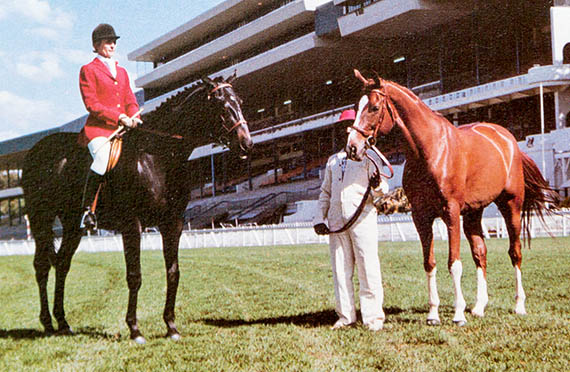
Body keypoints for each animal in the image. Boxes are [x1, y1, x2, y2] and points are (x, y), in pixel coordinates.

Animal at [21, 73, 251, 342]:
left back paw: (63, 323)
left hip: (72, 225)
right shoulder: (133, 224)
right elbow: (135, 275)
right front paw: (134, 328)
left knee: (63, 264)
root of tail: (36, 150)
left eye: (240, 102)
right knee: (42, 266)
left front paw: (171, 326)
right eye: (221, 106)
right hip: (41, 218)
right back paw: (48, 323)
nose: (247, 143)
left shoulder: (173, 223)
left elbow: (173, 273)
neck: (158, 156)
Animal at [344, 70, 556, 326]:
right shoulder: (421, 216)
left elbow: (454, 264)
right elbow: (430, 263)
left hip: (511, 207)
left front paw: (457, 314)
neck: (431, 150)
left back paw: (519, 305)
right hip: (474, 213)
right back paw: (479, 307)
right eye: (356, 106)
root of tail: (509, 141)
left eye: (374, 107)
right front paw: (433, 314)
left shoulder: (451, 212)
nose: (352, 148)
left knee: (515, 252)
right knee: (480, 253)